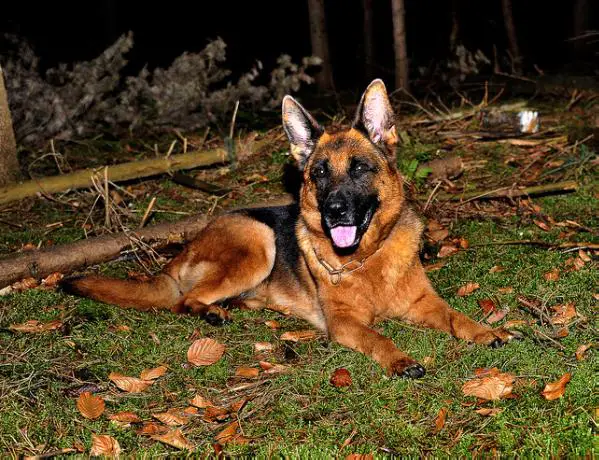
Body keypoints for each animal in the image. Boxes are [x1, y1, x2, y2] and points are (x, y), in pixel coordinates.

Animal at [63, 80, 516, 378]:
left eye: (359, 169)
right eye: (319, 173)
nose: (334, 211)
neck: (368, 259)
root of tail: (185, 249)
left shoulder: (426, 303)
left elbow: (457, 316)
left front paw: (485, 331)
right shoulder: (345, 324)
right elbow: (378, 338)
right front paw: (400, 359)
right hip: (258, 242)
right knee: (185, 299)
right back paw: (211, 311)